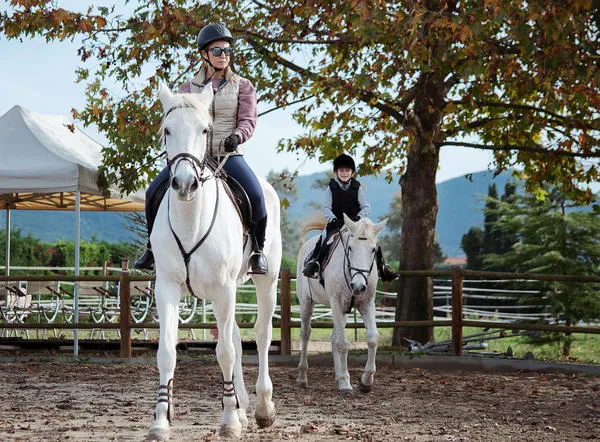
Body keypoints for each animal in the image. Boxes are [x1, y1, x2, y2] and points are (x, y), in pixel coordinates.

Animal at [145, 83, 282, 442]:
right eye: (167, 130)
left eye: (205, 130)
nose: (184, 184)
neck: (191, 219)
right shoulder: (167, 288)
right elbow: (167, 351)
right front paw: (161, 421)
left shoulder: (223, 289)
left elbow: (225, 352)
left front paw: (229, 421)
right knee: (234, 336)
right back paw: (244, 408)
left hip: (265, 282)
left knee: (261, 335)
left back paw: (262, 409)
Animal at [296, 214, 390, 394]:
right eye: (350, 248)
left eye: (373, 250)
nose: (358, 286)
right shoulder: (337, 303)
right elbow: (343, 344)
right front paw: (346, 383)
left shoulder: (366, 304)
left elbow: (372, 339)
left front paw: (366, 381)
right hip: (306, 303)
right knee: (305, 335)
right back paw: (302, 377)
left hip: (344, 310)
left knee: (333, 338)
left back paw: (339, 377)